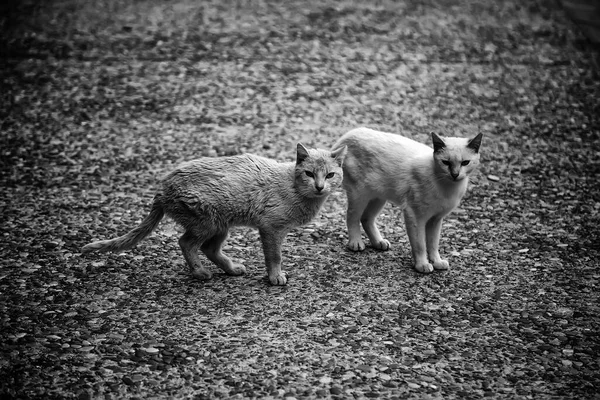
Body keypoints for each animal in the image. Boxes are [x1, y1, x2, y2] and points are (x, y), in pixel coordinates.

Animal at [82, 143, 350, 284]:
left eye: (330, 175)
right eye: (309, 174)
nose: (320, 187)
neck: (294, 188)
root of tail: (163, 187)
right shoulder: (271, 228)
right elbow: (274, 257)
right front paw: (275, 276)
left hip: (222, 225)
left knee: (208, 248)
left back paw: (230, 269)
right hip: (207, 222)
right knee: (186, 243)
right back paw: (200, 272)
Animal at [332, 128, 482, 276]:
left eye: (465, 163)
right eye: (446, 163)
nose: (455, 175)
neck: (448, 187)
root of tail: (350, 133)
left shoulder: (435, 219)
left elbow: (433, 244)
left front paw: (437, 262)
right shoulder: (415, 216)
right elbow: (420, 245)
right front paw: (422, 265)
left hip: (378, 197)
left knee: (366, 218)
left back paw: (379, 242)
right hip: (359, 195)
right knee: (352, 217)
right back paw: (356, 243)